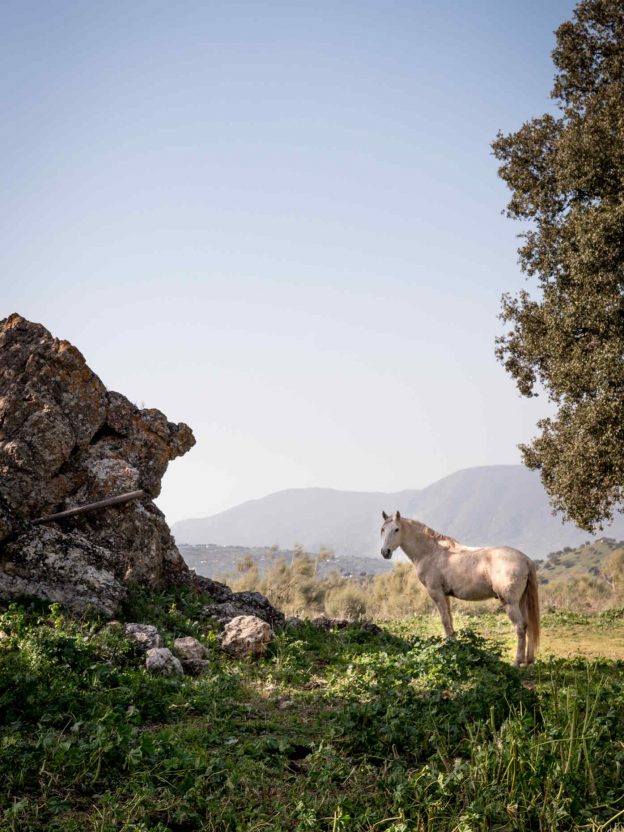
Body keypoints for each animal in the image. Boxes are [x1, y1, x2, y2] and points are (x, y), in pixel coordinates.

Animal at [378, 510, 540, 668]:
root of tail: (525, 559)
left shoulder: (436, 592)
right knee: (528, 626)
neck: (431, 551)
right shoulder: (445, 595)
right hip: (521, 601)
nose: (385, 552)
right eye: (383, 529)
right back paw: (528, 661)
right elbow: (449, 620)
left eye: (396, 529)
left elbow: (445, 620)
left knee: (520, 627)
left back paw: (517, 662)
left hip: (510, 603)